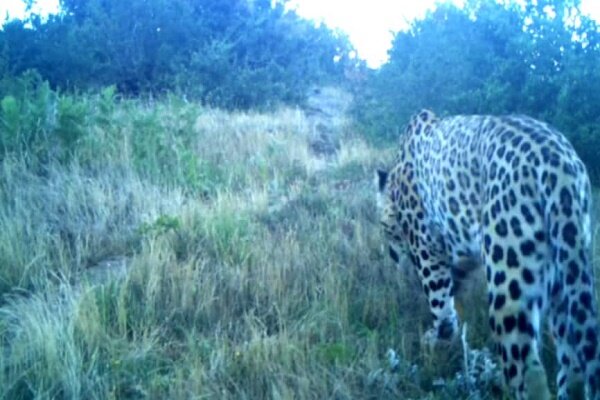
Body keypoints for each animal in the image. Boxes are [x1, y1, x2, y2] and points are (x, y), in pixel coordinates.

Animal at [378, 109, 596, 400]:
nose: (391, 256)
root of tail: (558, 162)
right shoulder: (459, 254)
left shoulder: (427, 250)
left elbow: (439, 303)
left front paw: (436, 342)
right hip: (567, 275)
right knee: (572, 366)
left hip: (510, 284)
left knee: (528, 372)